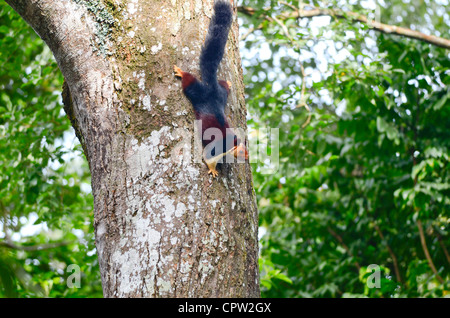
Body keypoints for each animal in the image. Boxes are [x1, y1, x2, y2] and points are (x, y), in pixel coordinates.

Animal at [174, 0, 248, 178]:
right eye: (242, 152)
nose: (248, 158)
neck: (232, 144)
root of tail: (211, 88)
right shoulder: (218, 148)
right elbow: (208, 157)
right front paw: (213, 170)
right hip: (197, 93)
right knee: (190, 83)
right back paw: (181, 73)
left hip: (221, 95)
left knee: (223, 87)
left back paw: (227, 83)